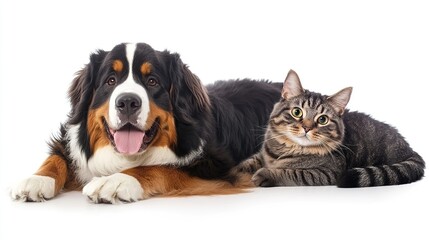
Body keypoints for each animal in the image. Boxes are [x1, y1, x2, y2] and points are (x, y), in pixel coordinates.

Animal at [9, 42, 280, 202]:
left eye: (152, 81)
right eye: (110, 80)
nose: (128, 102)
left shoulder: (216, 165)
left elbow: (160, 168)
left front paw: (115, 180)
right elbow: (57, 157)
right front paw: (37, 179)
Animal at [234, 69, 424, 188]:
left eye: (322, 120)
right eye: (297, 112)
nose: (306, 127)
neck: (285, 149)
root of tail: (409, 149)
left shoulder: (327, 172)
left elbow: (291, 172)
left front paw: (266, 174)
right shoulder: (262, 154)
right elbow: (247, 162)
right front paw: (234, 172)